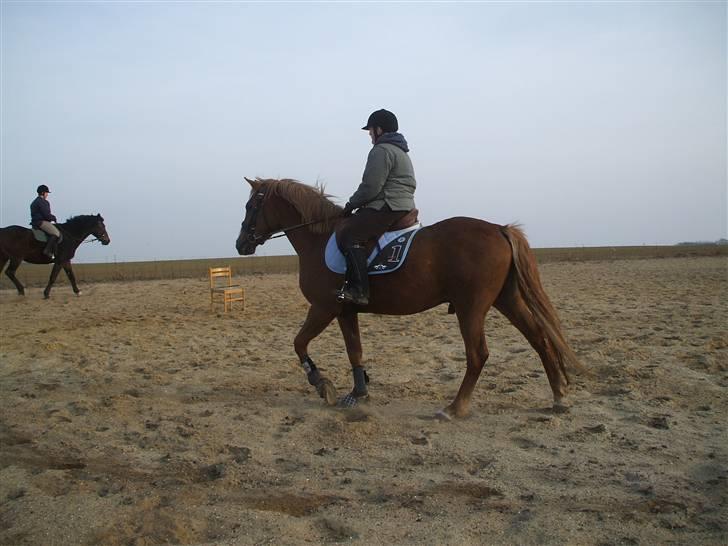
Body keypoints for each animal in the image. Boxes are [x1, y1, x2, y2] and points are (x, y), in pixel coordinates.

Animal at [236, 178, 584, 416]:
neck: (319, 239)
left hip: (471, 308)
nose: (241, 244)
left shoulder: (323, 308)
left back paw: (455, 408)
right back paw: (558, 396)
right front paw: (358, 394)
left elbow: (299, 343)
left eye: (252, 206)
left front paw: (322, 385)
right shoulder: (346, 311)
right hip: (506, 300)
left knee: (478, 355)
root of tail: (499, 228)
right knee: (538, 338)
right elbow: (355, 352)